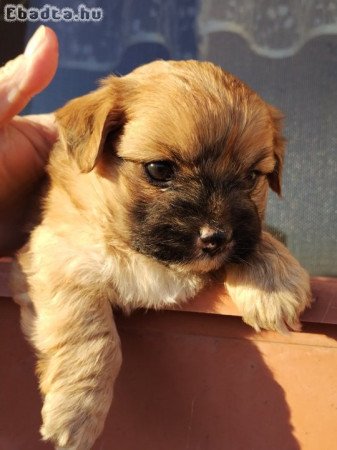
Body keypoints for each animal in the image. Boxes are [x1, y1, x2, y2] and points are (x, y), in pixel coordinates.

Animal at [12, 60, 310, 450]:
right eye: (159, 169)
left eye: (250, 178)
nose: (216, 237)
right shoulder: (57, 253)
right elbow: (90, 332)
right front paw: (77, 410)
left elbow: (257, 235)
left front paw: (275, 284)